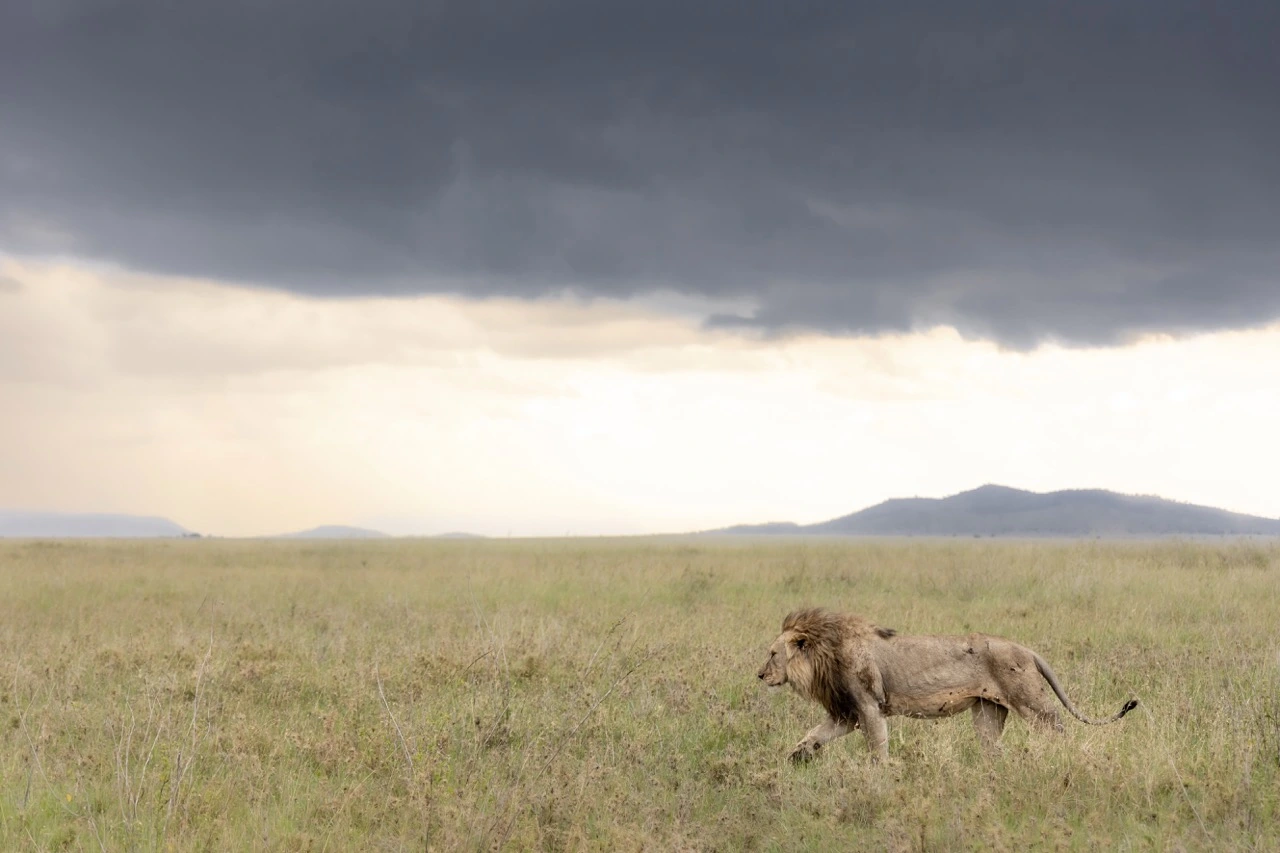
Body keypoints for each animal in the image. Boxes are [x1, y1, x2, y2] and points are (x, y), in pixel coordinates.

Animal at [752, 604, 1136, 758]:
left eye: (772, 654)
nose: (759, 675)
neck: (824, 654)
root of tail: (1025, 648)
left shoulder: (868, 707)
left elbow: (878, 748)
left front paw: (880, 778)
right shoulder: (847, 713)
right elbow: (814, 734)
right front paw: (796, 757)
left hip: (1031, 701)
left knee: (1059, 728)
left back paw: (1071, 757)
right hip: (987, 713)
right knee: (994, 750)